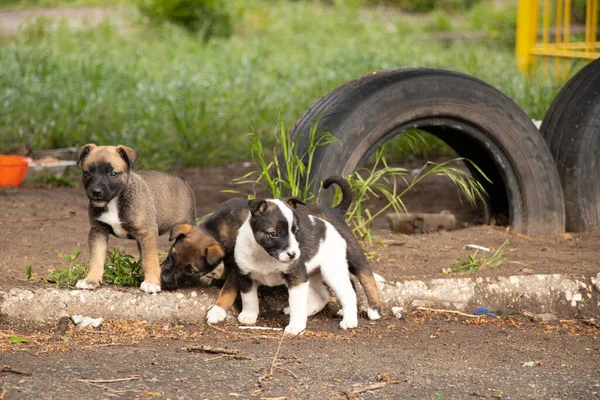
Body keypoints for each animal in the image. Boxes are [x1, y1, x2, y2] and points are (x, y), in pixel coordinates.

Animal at [74, 144, 197, 294]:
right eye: (87, 172)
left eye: (113, 174)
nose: (96, 192)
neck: (115, 201)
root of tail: (182, 180)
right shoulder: (98, 231)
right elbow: (96, 258)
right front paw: (91, 280)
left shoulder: (147, 233)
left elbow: (150, 259)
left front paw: (151, 282)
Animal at [236, 198, 370, 334]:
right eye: (274, 234)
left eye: (296, 232)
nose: (293, 255)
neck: (265, 255)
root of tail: (329, 226)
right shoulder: (244, 276)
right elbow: (248, 298)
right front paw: (249, 315)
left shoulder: (297, 278)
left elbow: (297, 304)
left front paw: (295, 326)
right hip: (311, 276)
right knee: (322, 296)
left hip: (332, 271)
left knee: (348, 293)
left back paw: (349, 320)